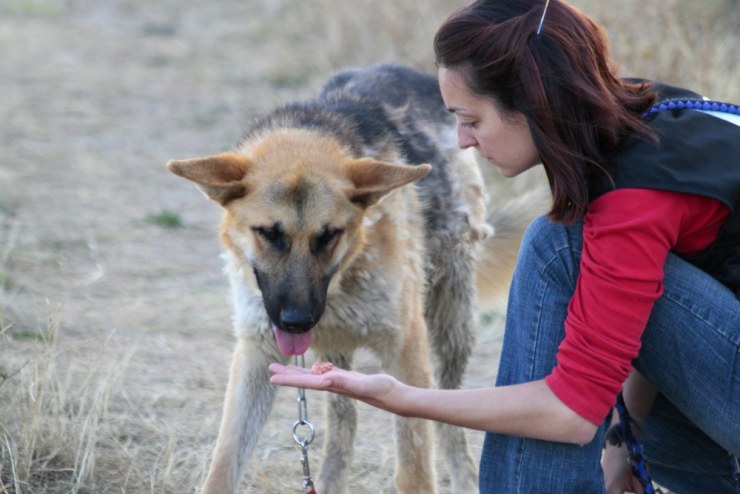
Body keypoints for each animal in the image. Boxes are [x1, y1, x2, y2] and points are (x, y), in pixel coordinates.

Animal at [169, 63, 544, 494]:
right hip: (334, 355)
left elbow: (415, 468)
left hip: (452, 328)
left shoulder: (406, 350)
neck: (341, 285)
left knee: (452, 429)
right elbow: (223, 466)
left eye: (329, 235)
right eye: (268, 234)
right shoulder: (257, 353)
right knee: (342, 426)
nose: (296, 321)